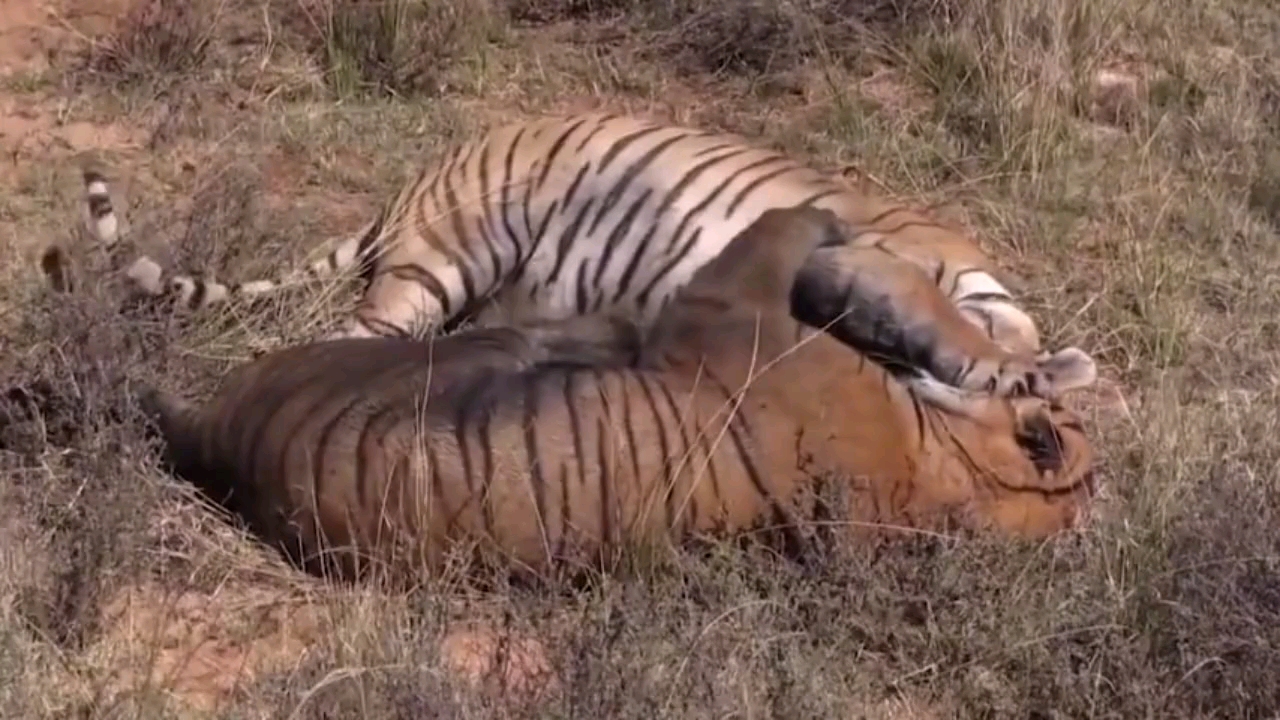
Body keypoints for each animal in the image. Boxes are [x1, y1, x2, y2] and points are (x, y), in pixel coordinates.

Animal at [58, 112, 1095, 400]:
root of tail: (410, 187)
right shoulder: (872, 263)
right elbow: (955, 326)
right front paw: (1026, 374)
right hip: (449, 258)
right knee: (351, 340)